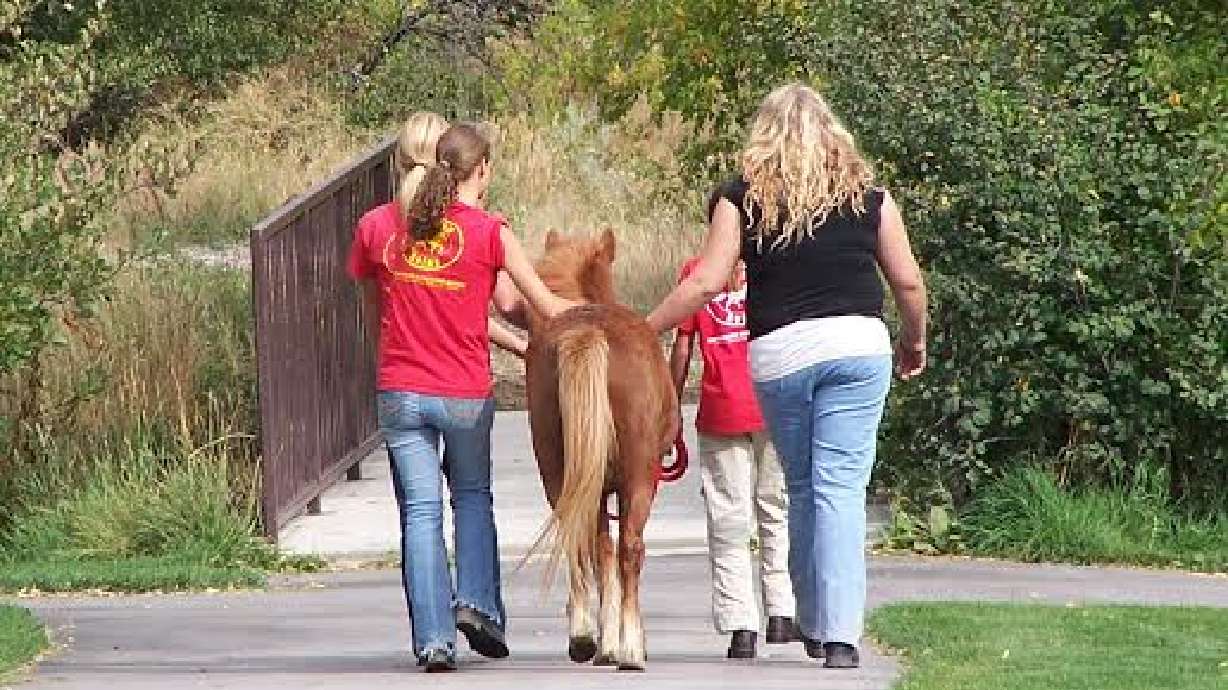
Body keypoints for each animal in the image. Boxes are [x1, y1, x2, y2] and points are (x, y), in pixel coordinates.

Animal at [522, 229, 679, 671]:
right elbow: (616, 552)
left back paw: (582, 637)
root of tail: (588, 332)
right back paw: (631, 652)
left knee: (578, 541)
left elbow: (600, 551)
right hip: (639, 478)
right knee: (631, 548)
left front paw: (605, 643)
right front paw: (622, 643)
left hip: (557, 471)